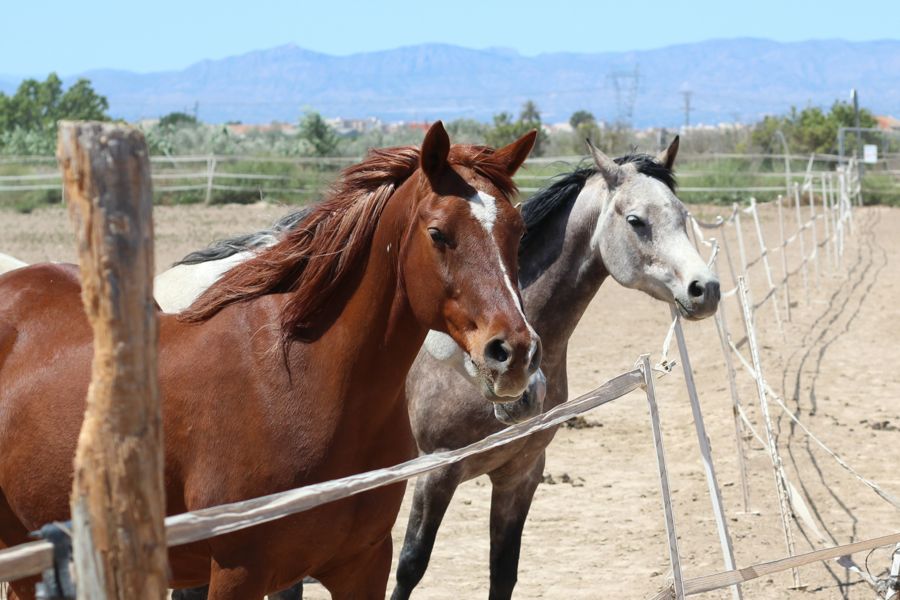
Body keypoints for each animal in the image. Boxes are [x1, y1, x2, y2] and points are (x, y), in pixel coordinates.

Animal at [0, 121, 542, 600]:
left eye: (518, 231)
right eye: (438, 233)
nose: (514, 353)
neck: (304, 383)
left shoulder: (362, 567)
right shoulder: (238, 574)